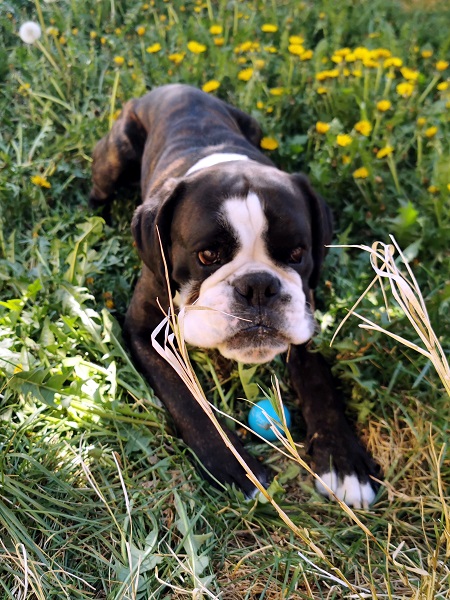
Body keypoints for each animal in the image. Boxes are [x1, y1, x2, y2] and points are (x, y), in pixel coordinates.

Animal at [89, 83, 378, 506]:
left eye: (297, 253)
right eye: (207, 255)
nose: (258, 286)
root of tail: (172, 86)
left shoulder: (304, 319)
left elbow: (319, 380)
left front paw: (343, 461)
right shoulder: (145, 334)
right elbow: (188, 401)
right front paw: (237, 467)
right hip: (115, 157)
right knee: (98, 190)